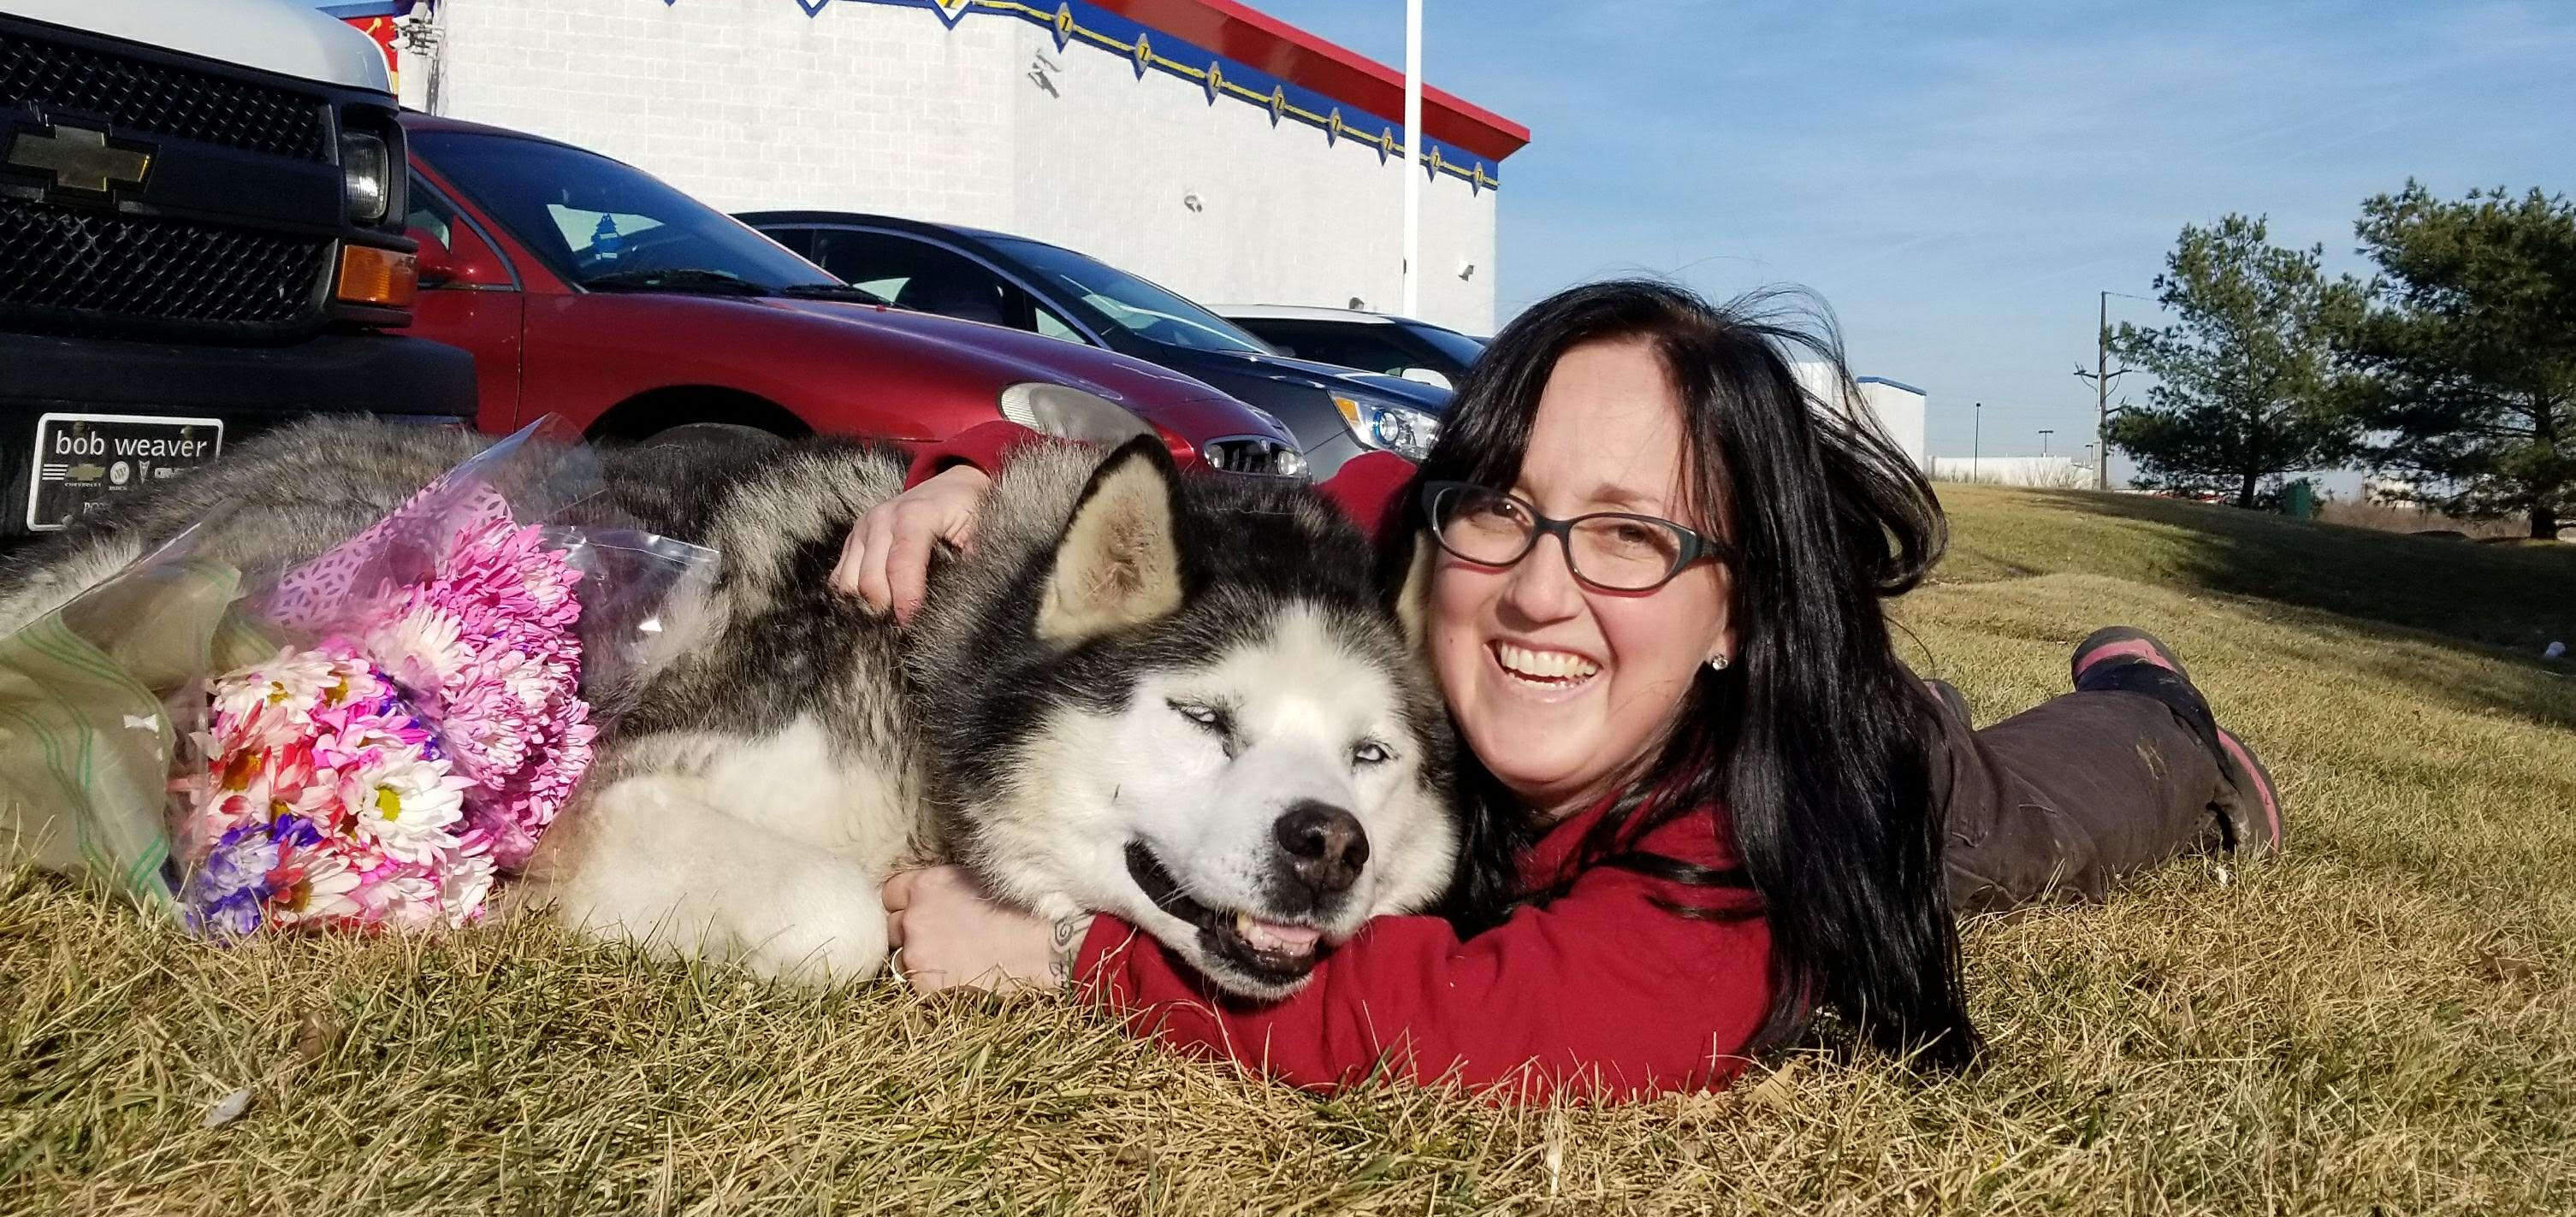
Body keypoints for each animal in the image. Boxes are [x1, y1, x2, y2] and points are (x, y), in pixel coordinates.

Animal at [0, 419, 1453, 998]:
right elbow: (836, 914)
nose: (1326, 840)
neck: (924, 683)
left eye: (1370, 755)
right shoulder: (619, 786)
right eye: (1203, 718)